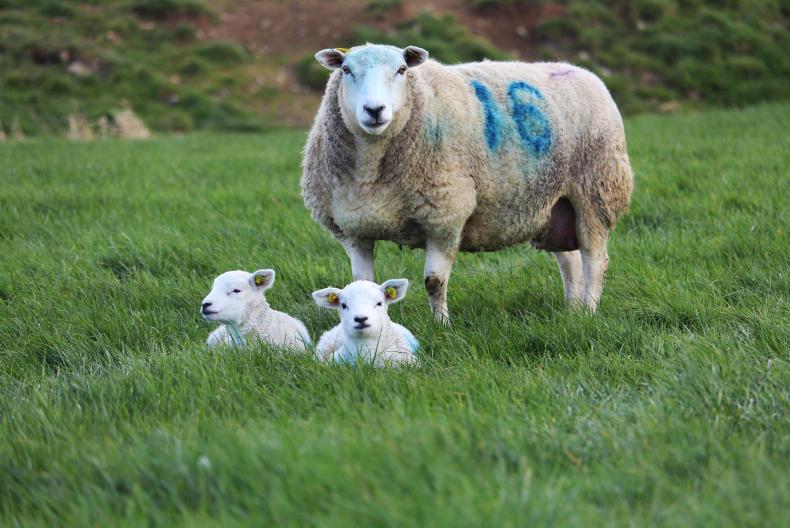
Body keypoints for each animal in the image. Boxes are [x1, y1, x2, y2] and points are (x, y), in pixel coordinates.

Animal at [301, 44, 633, 322]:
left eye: (402, 70)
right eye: (346, 70)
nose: (374, 110)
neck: (371, 172)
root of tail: (584, 73)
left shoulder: (445, 216)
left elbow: (434, 282)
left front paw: (442, 326)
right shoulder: (354, 231)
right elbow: (363, 284)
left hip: (596, 191)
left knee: (595, 259)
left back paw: (589, 311)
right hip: (553, 206)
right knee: (570, 261)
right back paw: (572, 310)